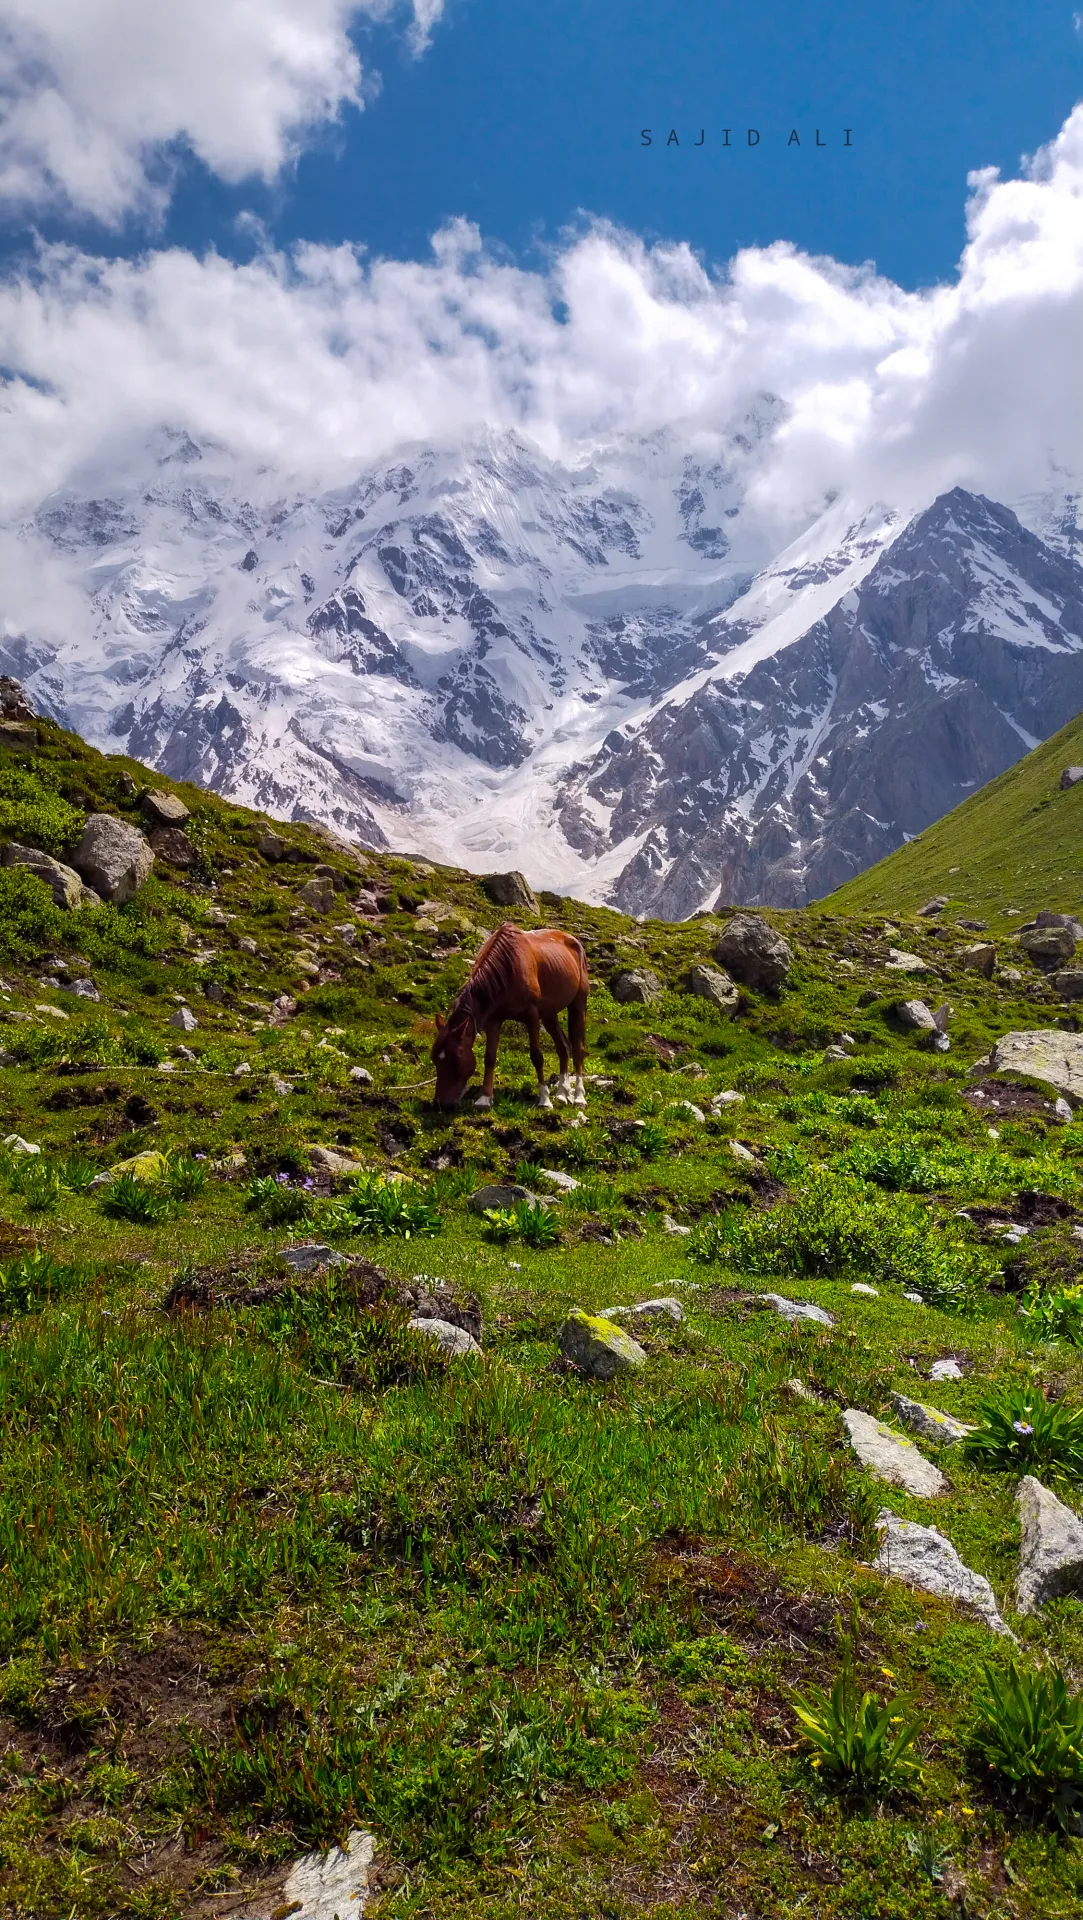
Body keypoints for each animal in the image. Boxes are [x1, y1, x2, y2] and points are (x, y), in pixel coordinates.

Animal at [432, 922, 589, 1111]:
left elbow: (537, 1057)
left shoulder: (532, 1016)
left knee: (578, 1050)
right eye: (434, 1059)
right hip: (549, 1014)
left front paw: (544, 1100)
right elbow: (489, 1057)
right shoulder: (494, 1020)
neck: (507, 967)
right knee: (563, 1046)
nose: (440, 1104)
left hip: (578, 1004)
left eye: (455, 1059)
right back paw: (561, 1094)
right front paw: (484, 1098)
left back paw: (579, 1097)